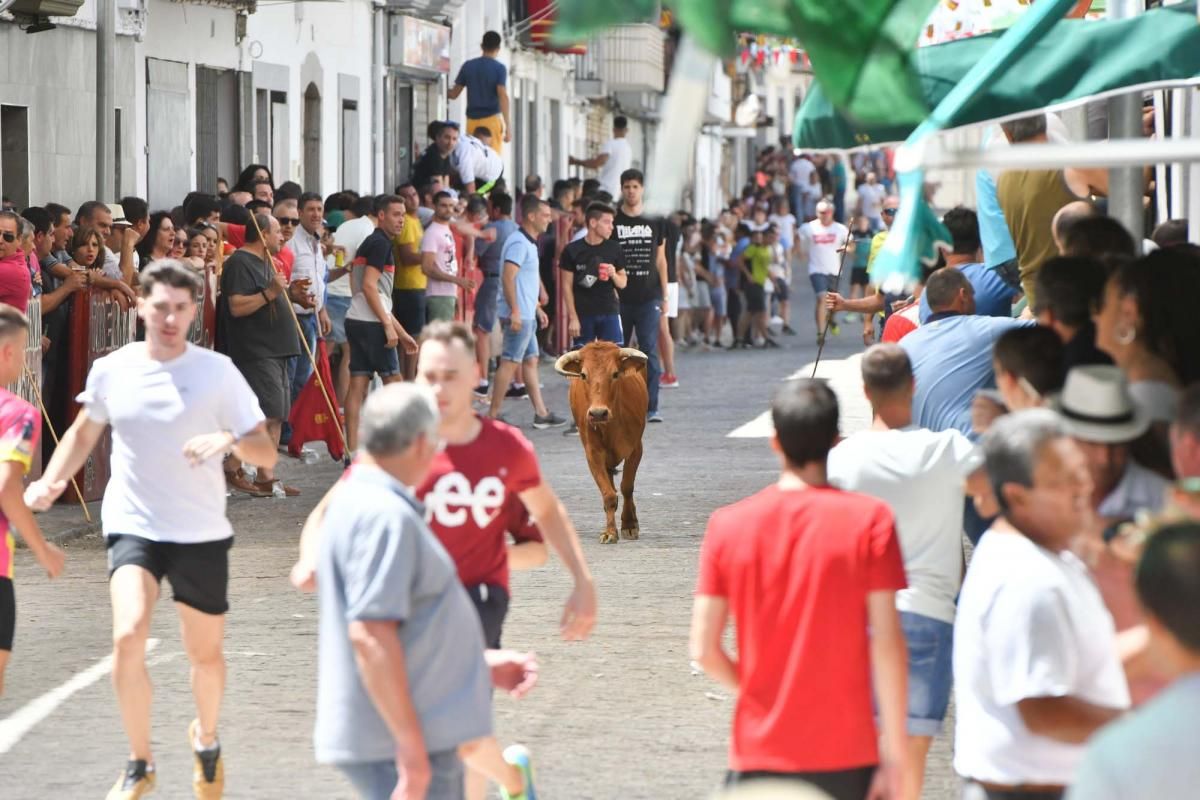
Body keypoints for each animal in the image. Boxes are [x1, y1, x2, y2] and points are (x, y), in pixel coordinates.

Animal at [552, 345, 648, 544]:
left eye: (615, 373)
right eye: (583, 374)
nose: (597, 413)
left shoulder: (635, 449)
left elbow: (627, 487)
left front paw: (629, 525)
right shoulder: (593, 453)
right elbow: (608, 494)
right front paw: (610, 532)